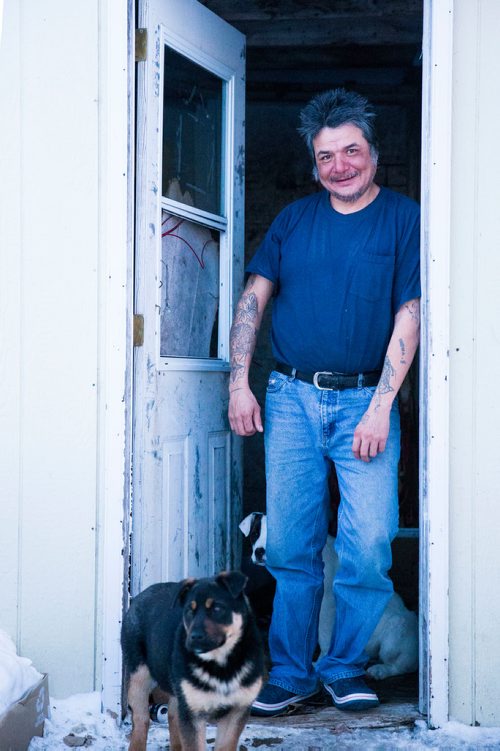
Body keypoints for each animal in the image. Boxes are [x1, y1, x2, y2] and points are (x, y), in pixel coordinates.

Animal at [238, 512, 418, 680]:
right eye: (255, 534)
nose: (259, 552)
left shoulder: (326, 607)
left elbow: (323, 636)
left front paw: (321, 663)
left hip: (395, 631)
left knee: (403, 666)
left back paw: (380, 670)